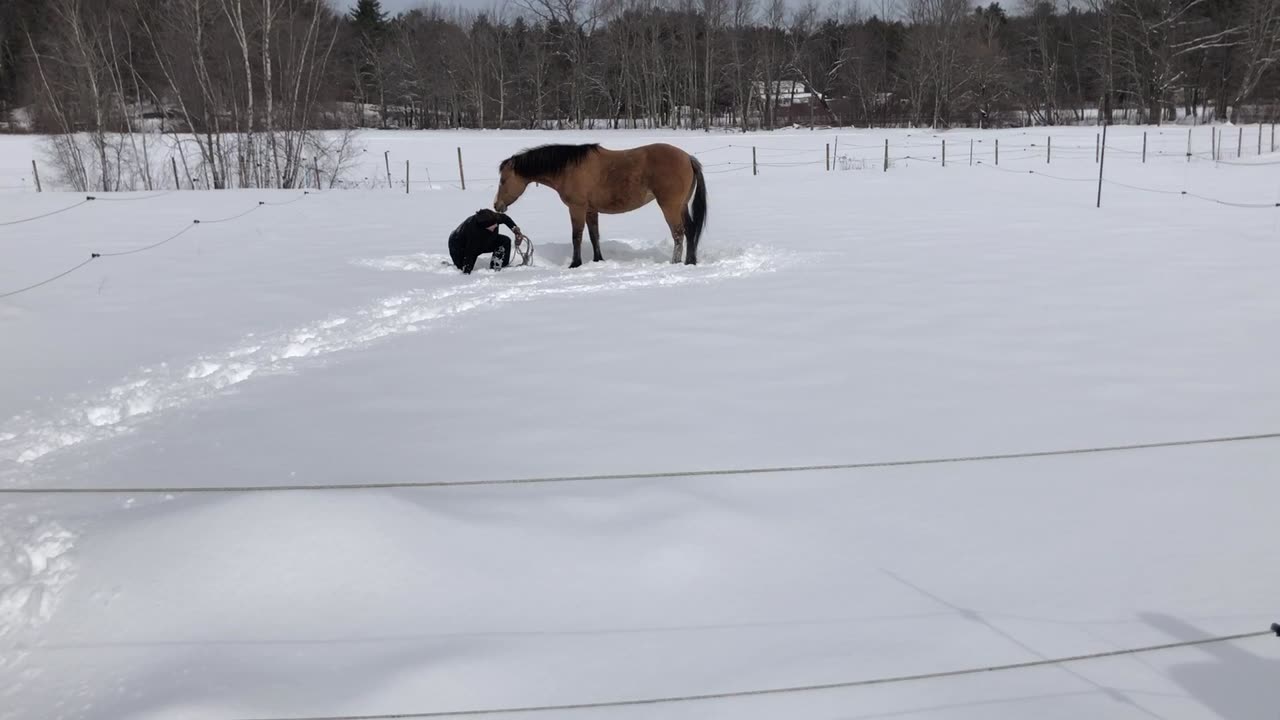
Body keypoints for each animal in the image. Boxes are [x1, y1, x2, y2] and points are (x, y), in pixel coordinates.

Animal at [491, 142, 711, 266]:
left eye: (503, 180)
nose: (496, 205)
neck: (569, 169)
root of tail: (687, 158)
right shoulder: (591, 210)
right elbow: (594, 235)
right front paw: (598, 260)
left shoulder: (577, 208)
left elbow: (577, 237)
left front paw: (575, 263)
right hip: (681, 205)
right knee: (690, 230)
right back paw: (690, 262)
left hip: (670, 206)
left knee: (678, 234)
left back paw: (675, 262)